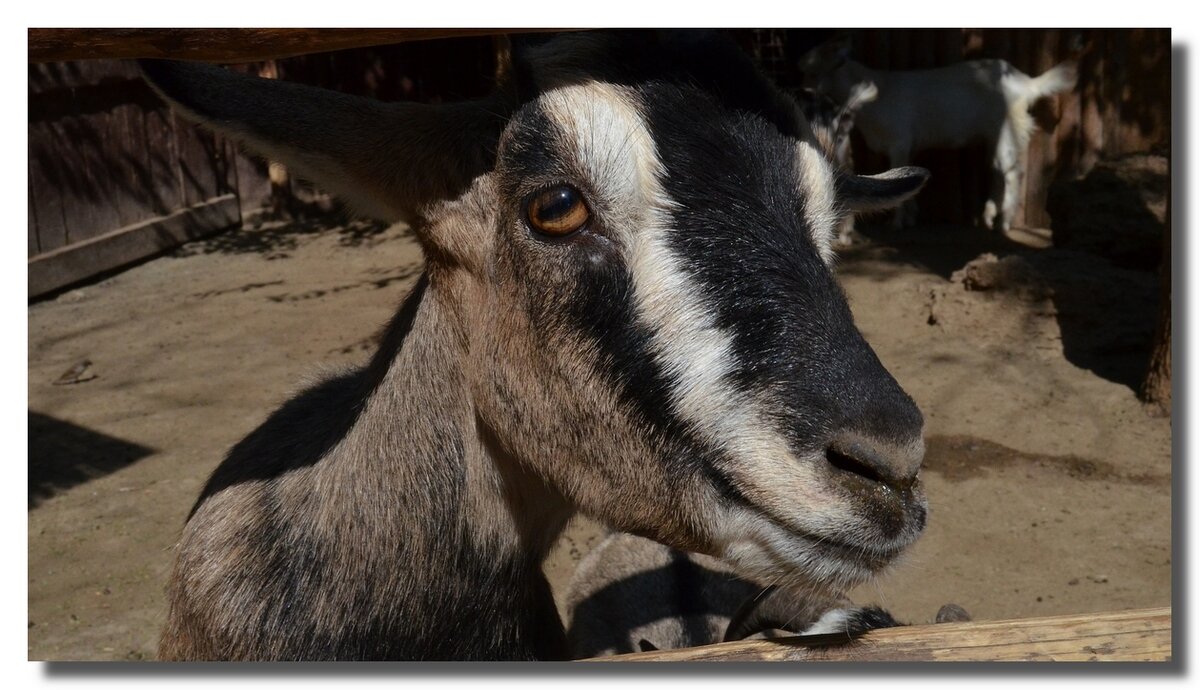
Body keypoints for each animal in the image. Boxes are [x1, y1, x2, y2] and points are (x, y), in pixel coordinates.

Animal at [801, 37, 1075, 232]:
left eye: (813, 72)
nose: (803, 90)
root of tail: (1025, 82)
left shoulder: (899, 142)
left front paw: (897, 223)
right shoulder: (908, 147)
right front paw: (911, 216)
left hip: (1007, 129)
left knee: (1012, 171)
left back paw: (1003, 222)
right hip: (994, 135)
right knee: (997, 170)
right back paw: (989, 216)